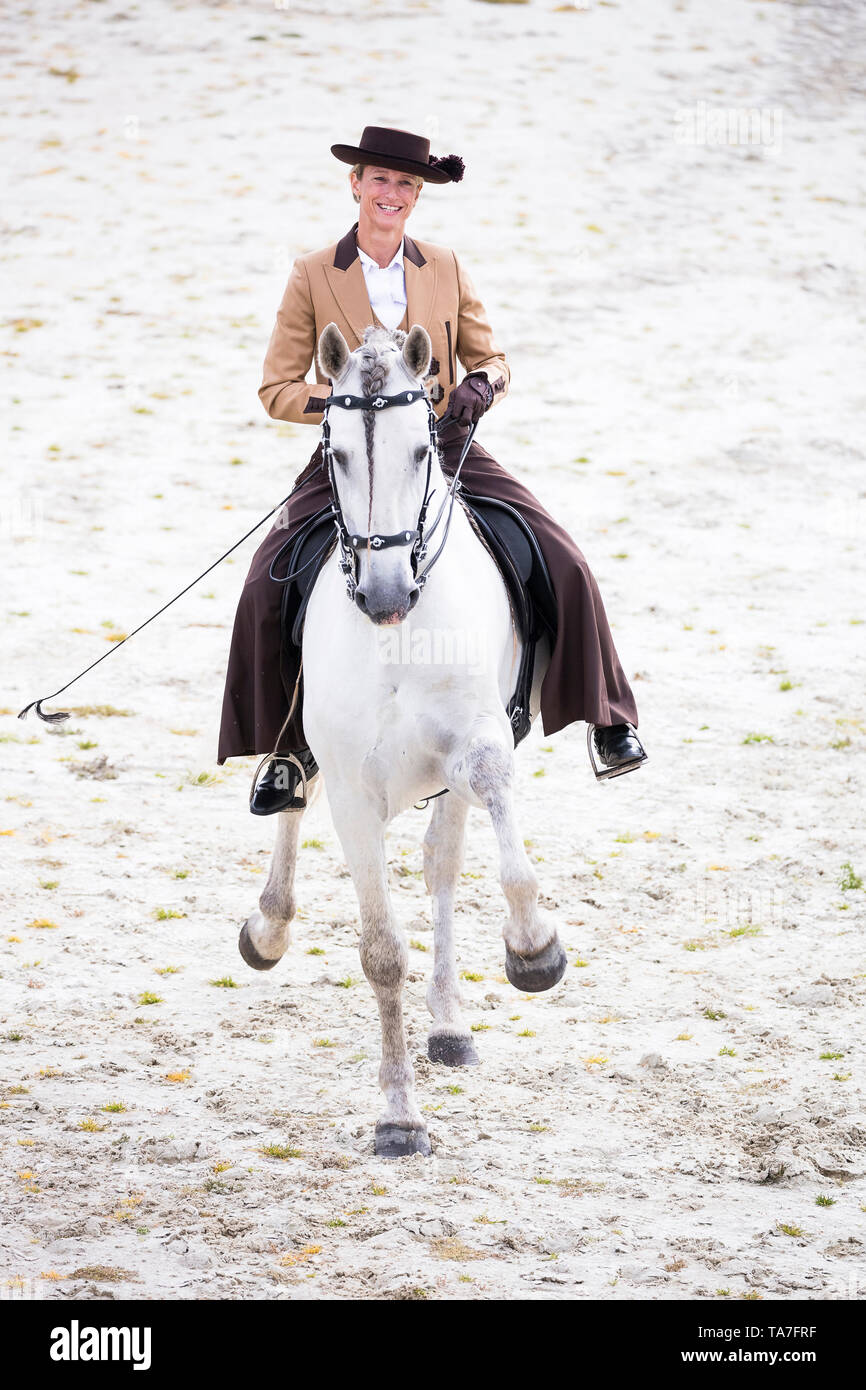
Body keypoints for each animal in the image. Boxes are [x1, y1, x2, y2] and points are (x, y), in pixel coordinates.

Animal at [238, 322, 567, 1158]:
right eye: (336, 455)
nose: (386, 595)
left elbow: (501, 851)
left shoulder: (479, 742)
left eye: (424, 449)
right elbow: (381, 951)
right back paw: (268, 926)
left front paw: (533, 949)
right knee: (293, 798)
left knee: (443, 866)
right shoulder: (355, 793)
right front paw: (398, 1118)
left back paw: (450, 1025)